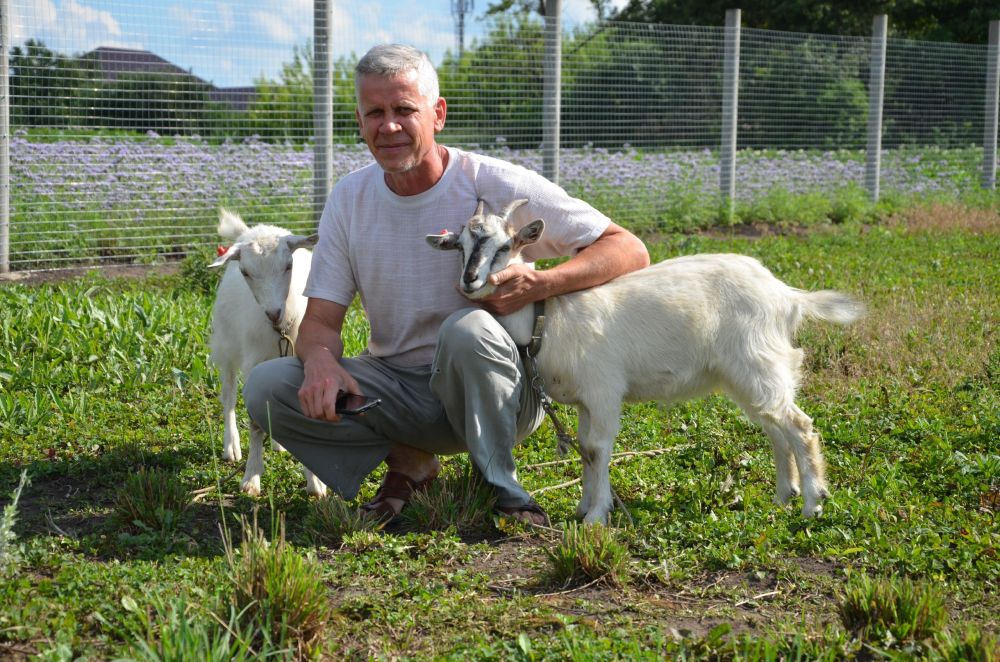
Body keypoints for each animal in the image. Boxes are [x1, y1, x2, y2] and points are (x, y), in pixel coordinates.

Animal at [208, 210, 324, 496]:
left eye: (288, 266)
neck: (280, 330)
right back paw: (231, 446)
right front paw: (251, 477)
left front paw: (315, 481)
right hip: (227, 344)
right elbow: (254, 422)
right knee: (228, 396)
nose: (273, 313)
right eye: (245, 272)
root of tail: (254, 230)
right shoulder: (253, 363)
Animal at [426, 200, 864, 528]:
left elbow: (597, 447)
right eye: (460, 246)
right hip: (746, 374)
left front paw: (596, 517)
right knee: (775, 428)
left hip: (758, 363)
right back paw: (783, 496)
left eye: (504, 248)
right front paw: (584, 506)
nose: (469, 280)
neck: (546, 318)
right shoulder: (586, 401)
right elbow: (585, 449)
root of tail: (787, 295)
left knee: (799, 426)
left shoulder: (604, 390)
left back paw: (812, 504)